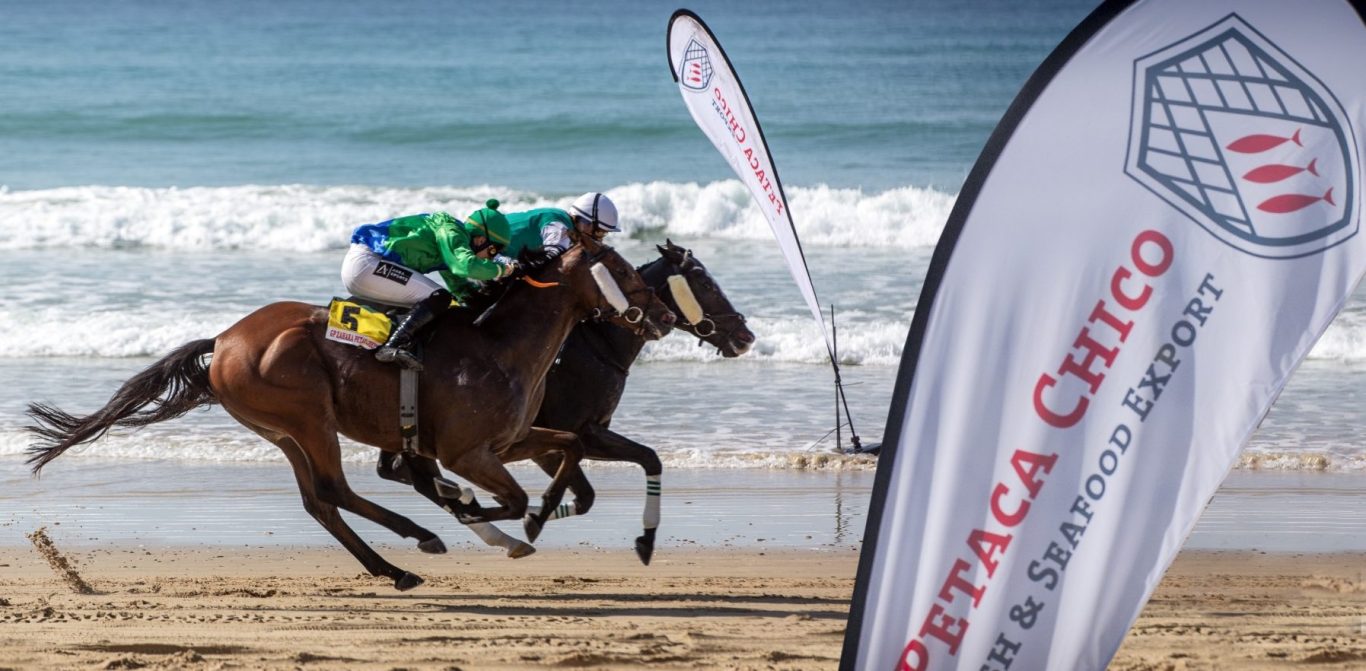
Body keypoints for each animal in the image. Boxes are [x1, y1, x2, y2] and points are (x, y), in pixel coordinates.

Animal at [25, 238, 675, 591]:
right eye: (621, 270)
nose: (665, 317)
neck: (501, 344)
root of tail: (225, 338)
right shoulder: (466, 451)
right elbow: (505, 496)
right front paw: (488, 516)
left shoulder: (512, 440)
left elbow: (568, 445)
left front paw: (538, 515)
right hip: (308, 416)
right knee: (334, 488)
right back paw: (420, 538)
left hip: (281, 430)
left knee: (320, 501)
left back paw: (394, 566)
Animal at [379, 239, 754, 564]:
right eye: (704, 282)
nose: (746, 337)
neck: (598, 345)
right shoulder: (558, 438)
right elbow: (585, 488)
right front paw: (532, 516)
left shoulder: (580, 433)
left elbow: (643, 462)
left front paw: (645, 541)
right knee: (411, 474)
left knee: (399, 471)